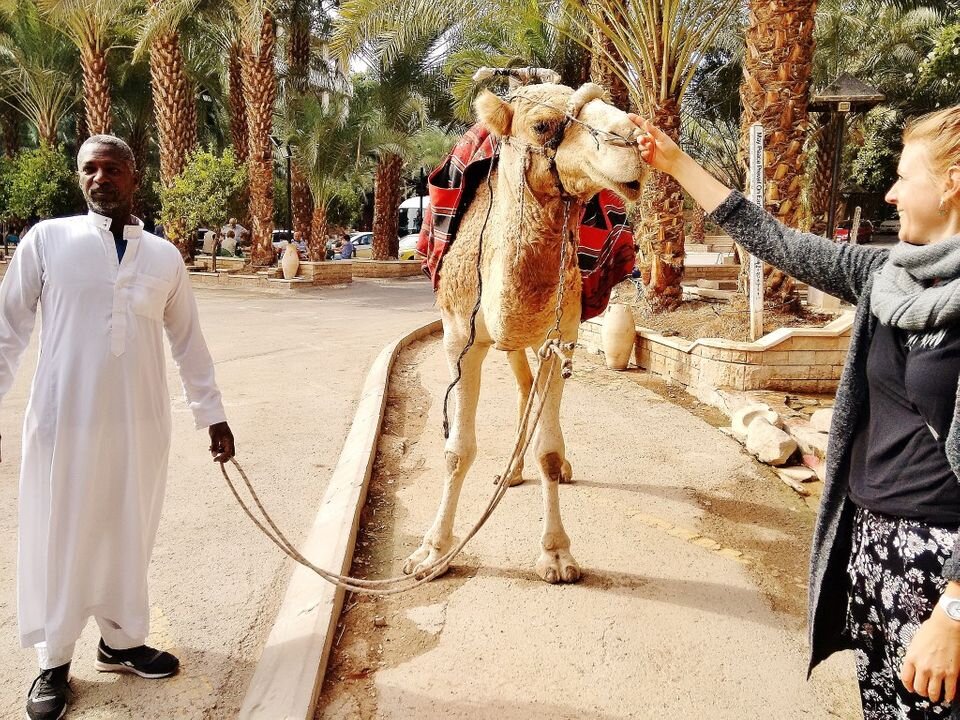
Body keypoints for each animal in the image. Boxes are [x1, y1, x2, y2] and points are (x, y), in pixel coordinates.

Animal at [402, 80, 648, 584]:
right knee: (522, 385)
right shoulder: (460, 340)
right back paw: (510, 471)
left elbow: (548, 454)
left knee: (535, 393)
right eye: (542, 125)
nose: (633, 139)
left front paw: (556, 555)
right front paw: (432, 552)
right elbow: (456, 450)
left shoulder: (559, 337)